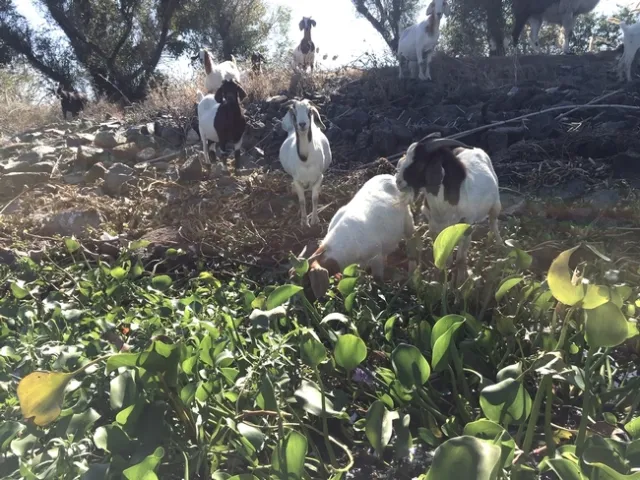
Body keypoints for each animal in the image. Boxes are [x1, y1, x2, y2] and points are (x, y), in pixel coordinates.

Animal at [279, 99, 331, 228]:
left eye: (309, 111)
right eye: (294, 112)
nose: (302, 124)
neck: (305, 159)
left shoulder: (319, 177)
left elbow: (315, 198)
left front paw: (314, 220)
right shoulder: (297, 180)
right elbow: (302, 201)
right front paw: (304, 222)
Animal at [395, 135, 503, 284]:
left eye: (419, 163)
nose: (398, 182)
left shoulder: (466, 225)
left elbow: (461, 260)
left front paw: (459, 283)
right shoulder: (434, 226)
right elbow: (441, 254)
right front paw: (439, 277)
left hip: (496, 205)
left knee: (493, 223)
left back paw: (500, 245)